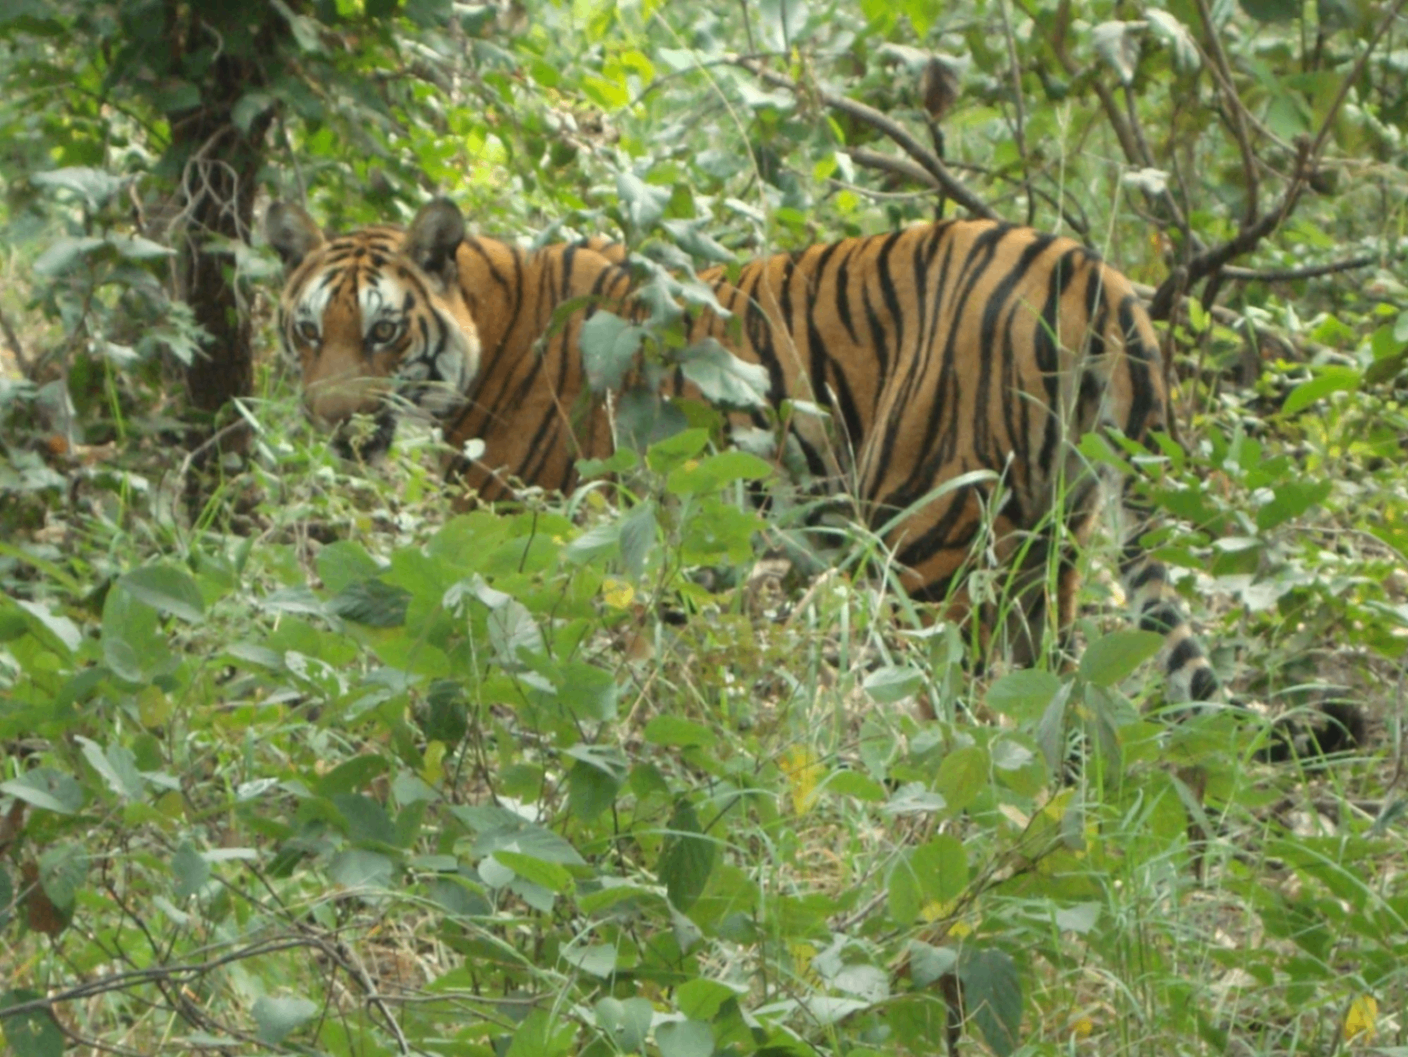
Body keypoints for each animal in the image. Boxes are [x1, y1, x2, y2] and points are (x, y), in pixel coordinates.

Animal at [266, 195, 1351, 738]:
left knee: (959, 698)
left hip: (940, 534)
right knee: (1054, 686)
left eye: (383, 332)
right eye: (308, 330)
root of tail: (1090, 269)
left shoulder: (527, 533)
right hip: (1058, 540)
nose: (328, 424)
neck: (483, 331)